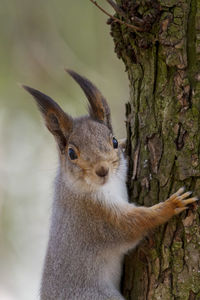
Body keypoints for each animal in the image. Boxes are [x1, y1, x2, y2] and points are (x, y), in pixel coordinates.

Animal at [23, 70, 197, 300]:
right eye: (71, 153)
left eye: (113, 141)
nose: (102, 170)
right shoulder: (99, 218)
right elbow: (134, 224)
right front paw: (172, 205)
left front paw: (125, 142)